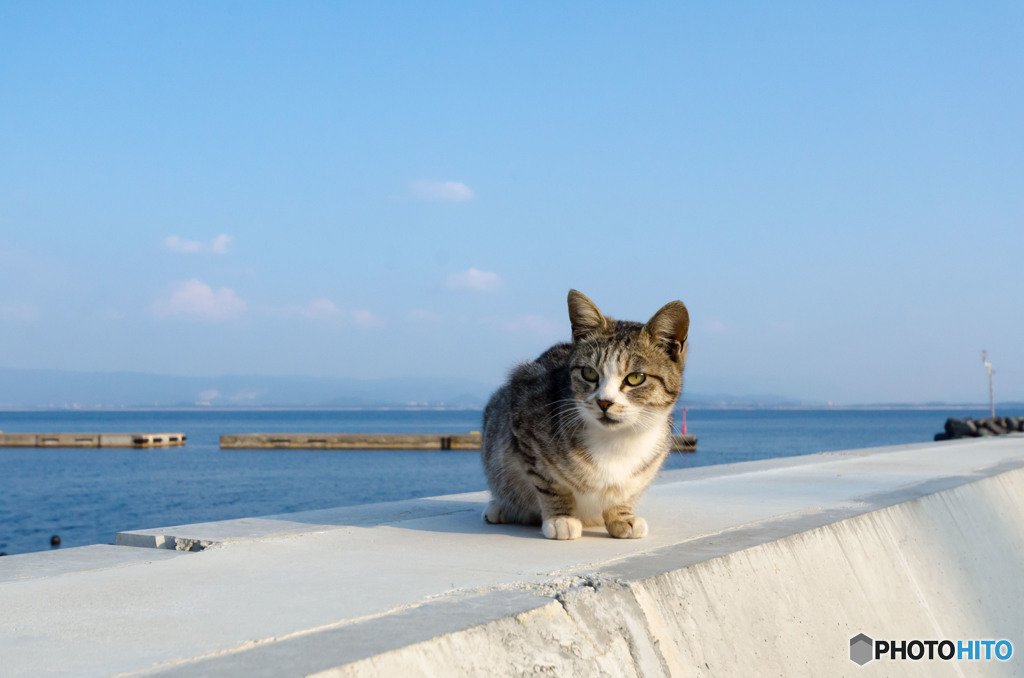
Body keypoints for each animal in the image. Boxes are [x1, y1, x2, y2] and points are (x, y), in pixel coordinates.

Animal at [479, 290, 688, 540]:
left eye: (636, 377)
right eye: (589, 373)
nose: (604, 401)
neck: (616, 440)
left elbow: (625, 489)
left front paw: (621, 516)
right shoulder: (524, 413)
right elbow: (550, 483)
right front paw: (560, 518)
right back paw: (500, 508)